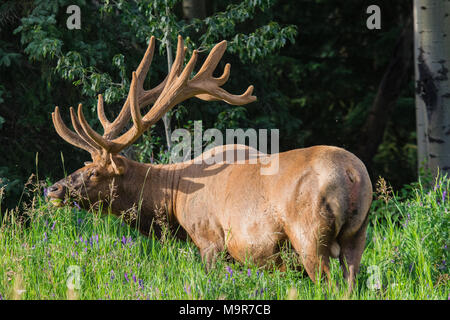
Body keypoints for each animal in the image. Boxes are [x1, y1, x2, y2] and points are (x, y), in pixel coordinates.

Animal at [47, 34, 374, 288]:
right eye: (84, 165)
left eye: (94, 172)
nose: (53, 189)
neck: (175, 198)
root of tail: (352, 174)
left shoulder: (209, 240)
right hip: (357, 236)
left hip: (310, 236)